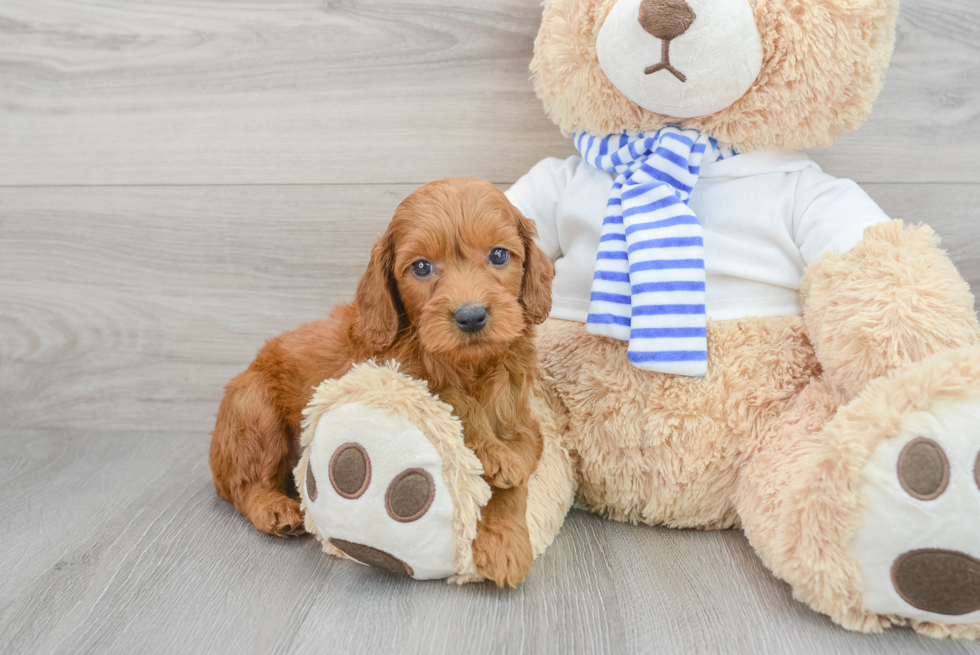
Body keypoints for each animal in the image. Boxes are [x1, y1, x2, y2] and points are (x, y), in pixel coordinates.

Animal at [209, 177, 552, 588]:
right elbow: (456, 407)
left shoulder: (521, 420)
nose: (471, 317)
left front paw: (504, 537)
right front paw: (492, 457)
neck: (471, 367)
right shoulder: (401, 379)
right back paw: (274, 509)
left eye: (499, 256)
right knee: (241, 484)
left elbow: (522, 464)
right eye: (421, 267)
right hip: (252, 411)